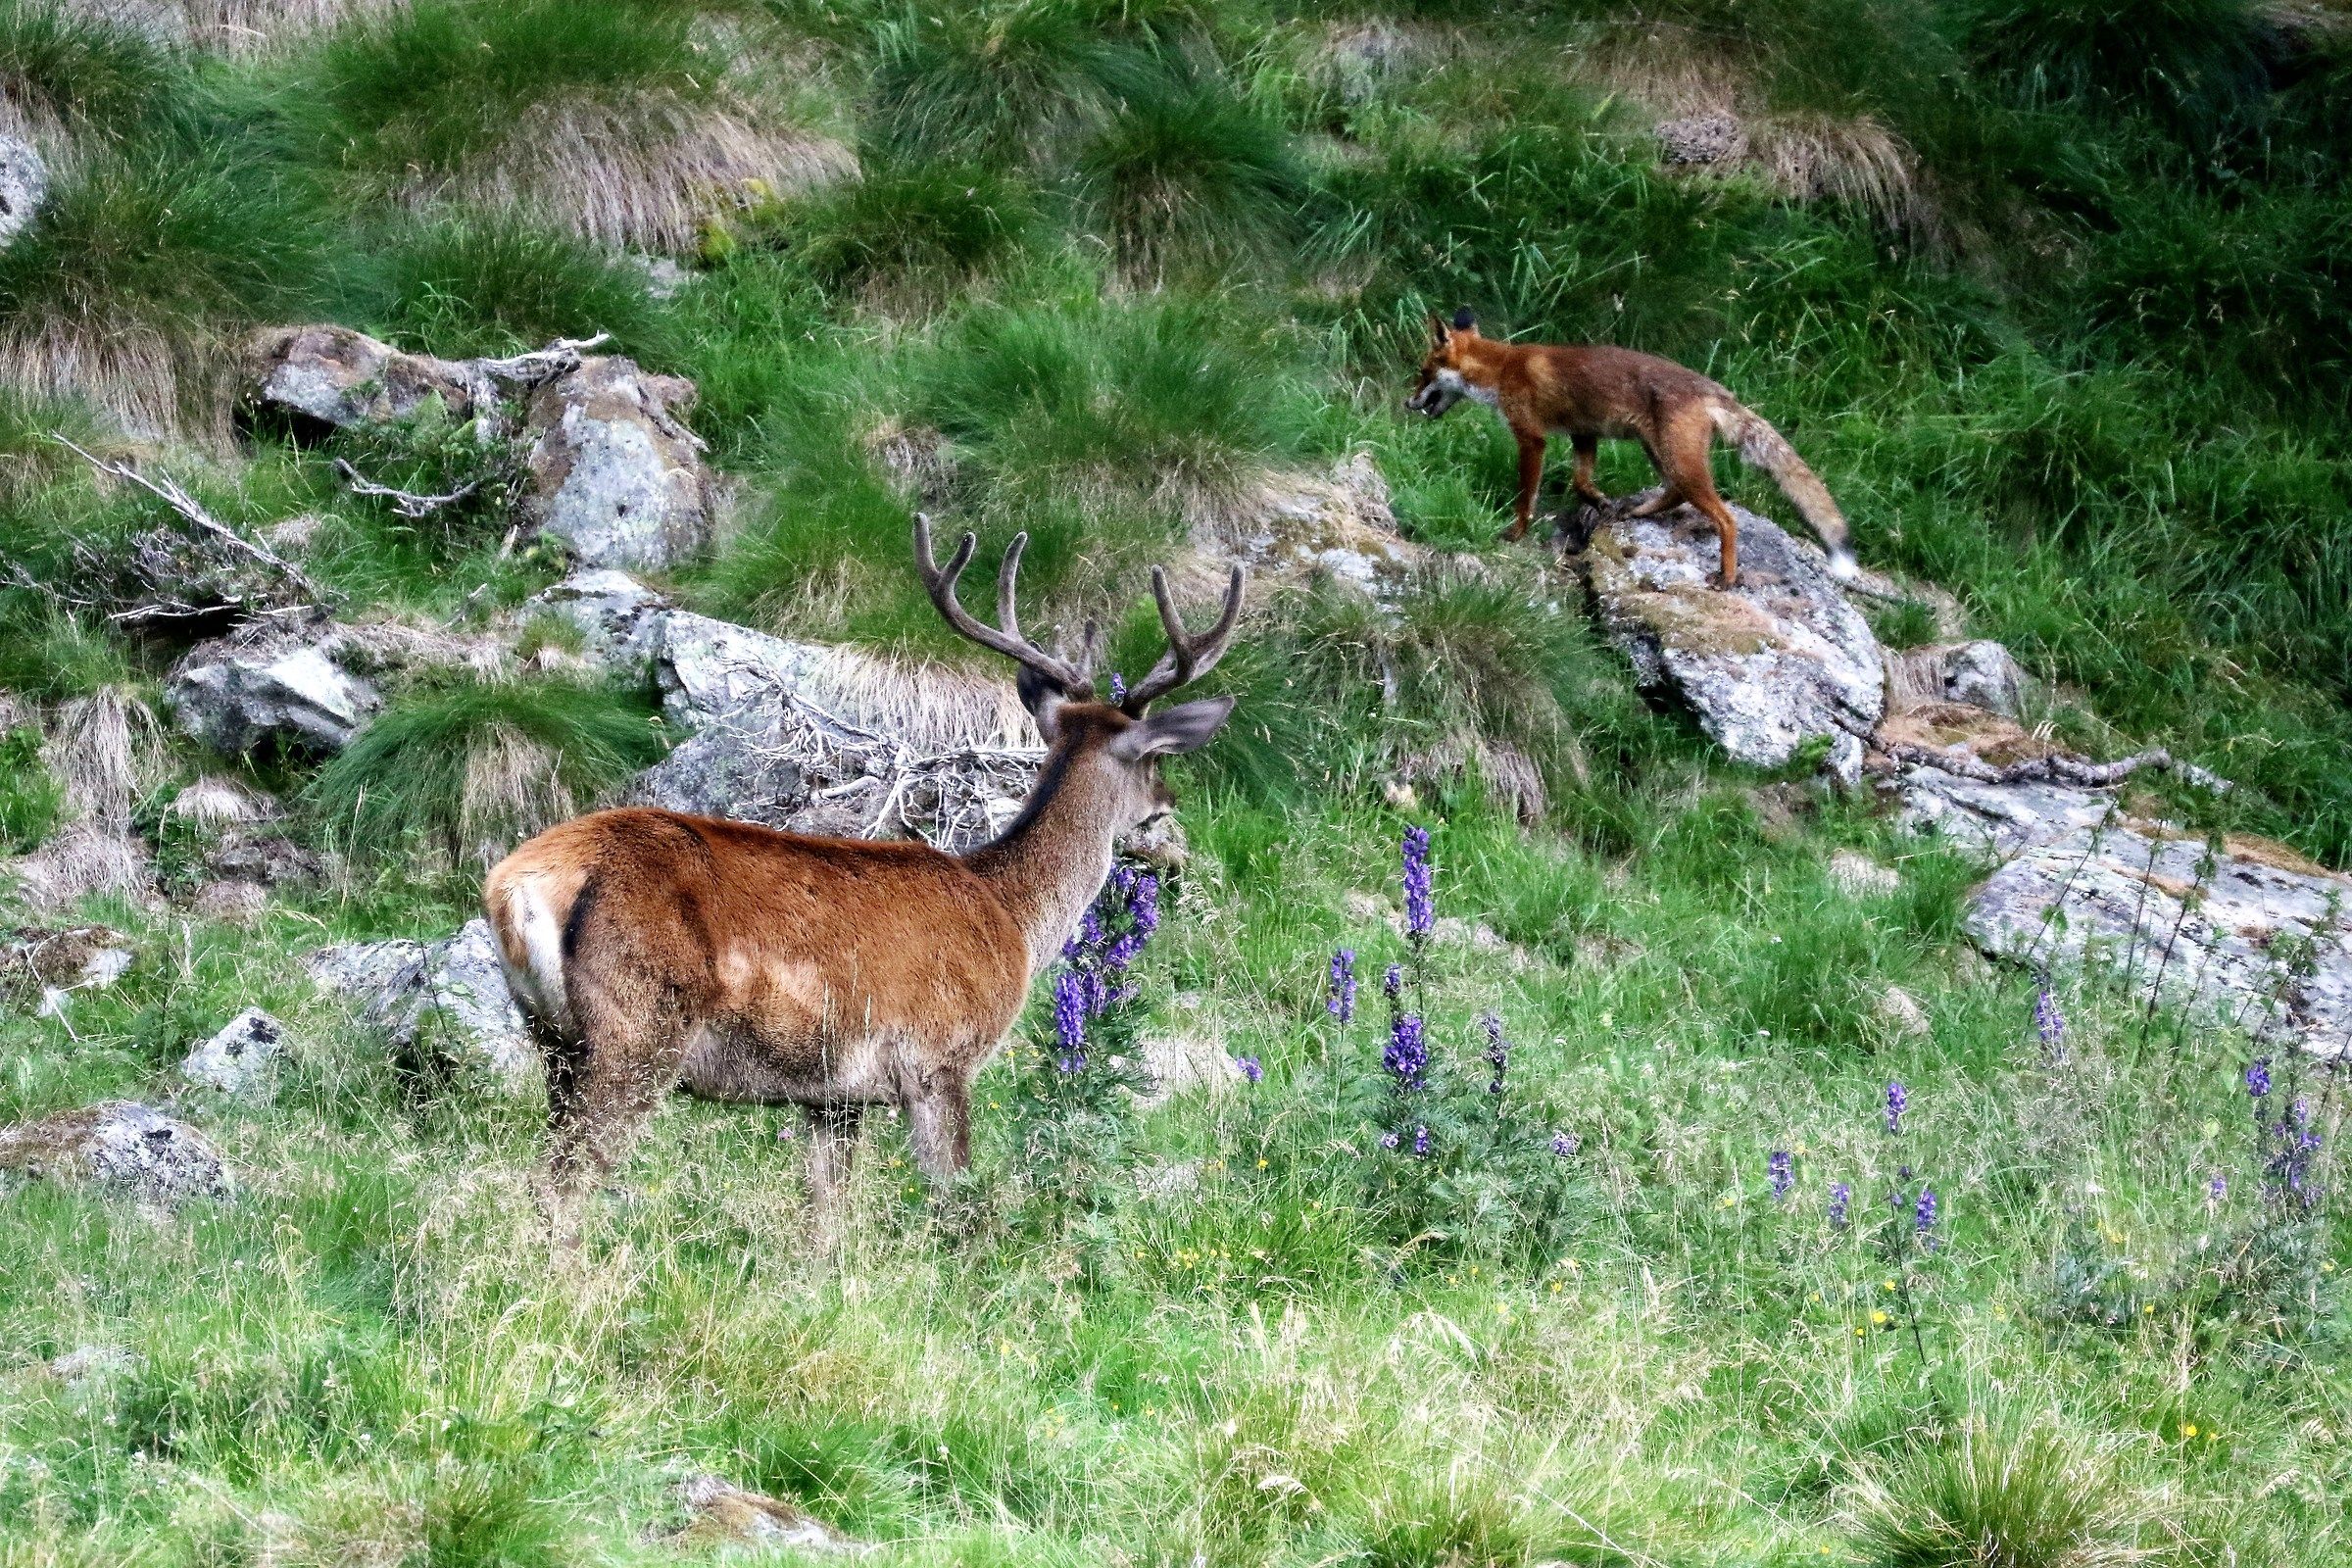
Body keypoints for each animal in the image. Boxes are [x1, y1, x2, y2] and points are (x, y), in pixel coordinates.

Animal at [482, 514, 1245, 1245]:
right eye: (1151, 758)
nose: (1168, 803)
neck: (1012, 916)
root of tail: (513, 887)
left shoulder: (833, 1096)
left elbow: (824, 1224)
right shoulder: (939, 1061)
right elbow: (956, 1206)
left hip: (554, 1041)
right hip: (637, 1032)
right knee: (562, 1186)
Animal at [1405, 309, 1855, 588]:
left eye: (1422, 373)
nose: (1407, 404)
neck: (1502, 369)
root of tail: (1715, 389)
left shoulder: (1531, 437)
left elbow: (1526, 496)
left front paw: (1515, 533)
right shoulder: (1584, 433)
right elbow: (1580, 479)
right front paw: (1599, 501)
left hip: (1678, 461)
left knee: (1725, 519)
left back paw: (1726, 576)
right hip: (1661, 454)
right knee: (1674, 495)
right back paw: (1636, 511)